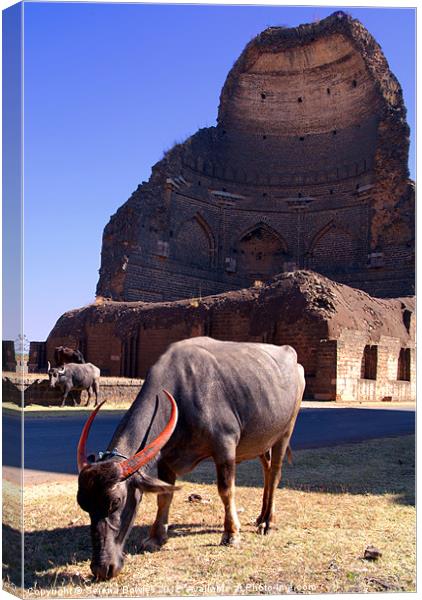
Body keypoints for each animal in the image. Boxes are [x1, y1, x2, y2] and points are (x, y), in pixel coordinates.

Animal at [76, 336, 306, 580]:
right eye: (84, 505)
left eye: (116, 502)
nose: (101, 568)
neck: (183, 395)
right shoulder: (166, 459)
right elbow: (164, 497)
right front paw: (156, 537)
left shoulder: (225, 447)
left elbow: (226, 491)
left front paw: (231, 534)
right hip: (262, 441)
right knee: (267, 471)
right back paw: (261, 517)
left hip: (285, 432)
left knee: (275, 474)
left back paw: (268, 522)